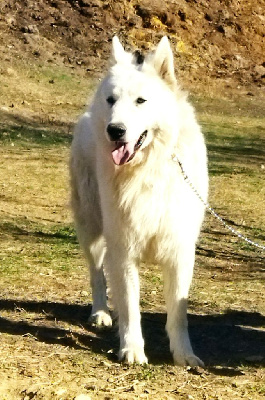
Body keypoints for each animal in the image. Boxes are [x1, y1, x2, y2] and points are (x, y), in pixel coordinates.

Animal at [69, 36, 206, 366]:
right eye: (112, 100)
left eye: (141, 101)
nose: (115, 130)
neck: (148, 170)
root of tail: (89, 114)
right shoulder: (123, 250)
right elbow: (131, 306)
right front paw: (132, 350)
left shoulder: (180, 251)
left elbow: (179, 312)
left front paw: (184, 355)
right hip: (91, 228)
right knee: (97, 274)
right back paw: (101, 313)